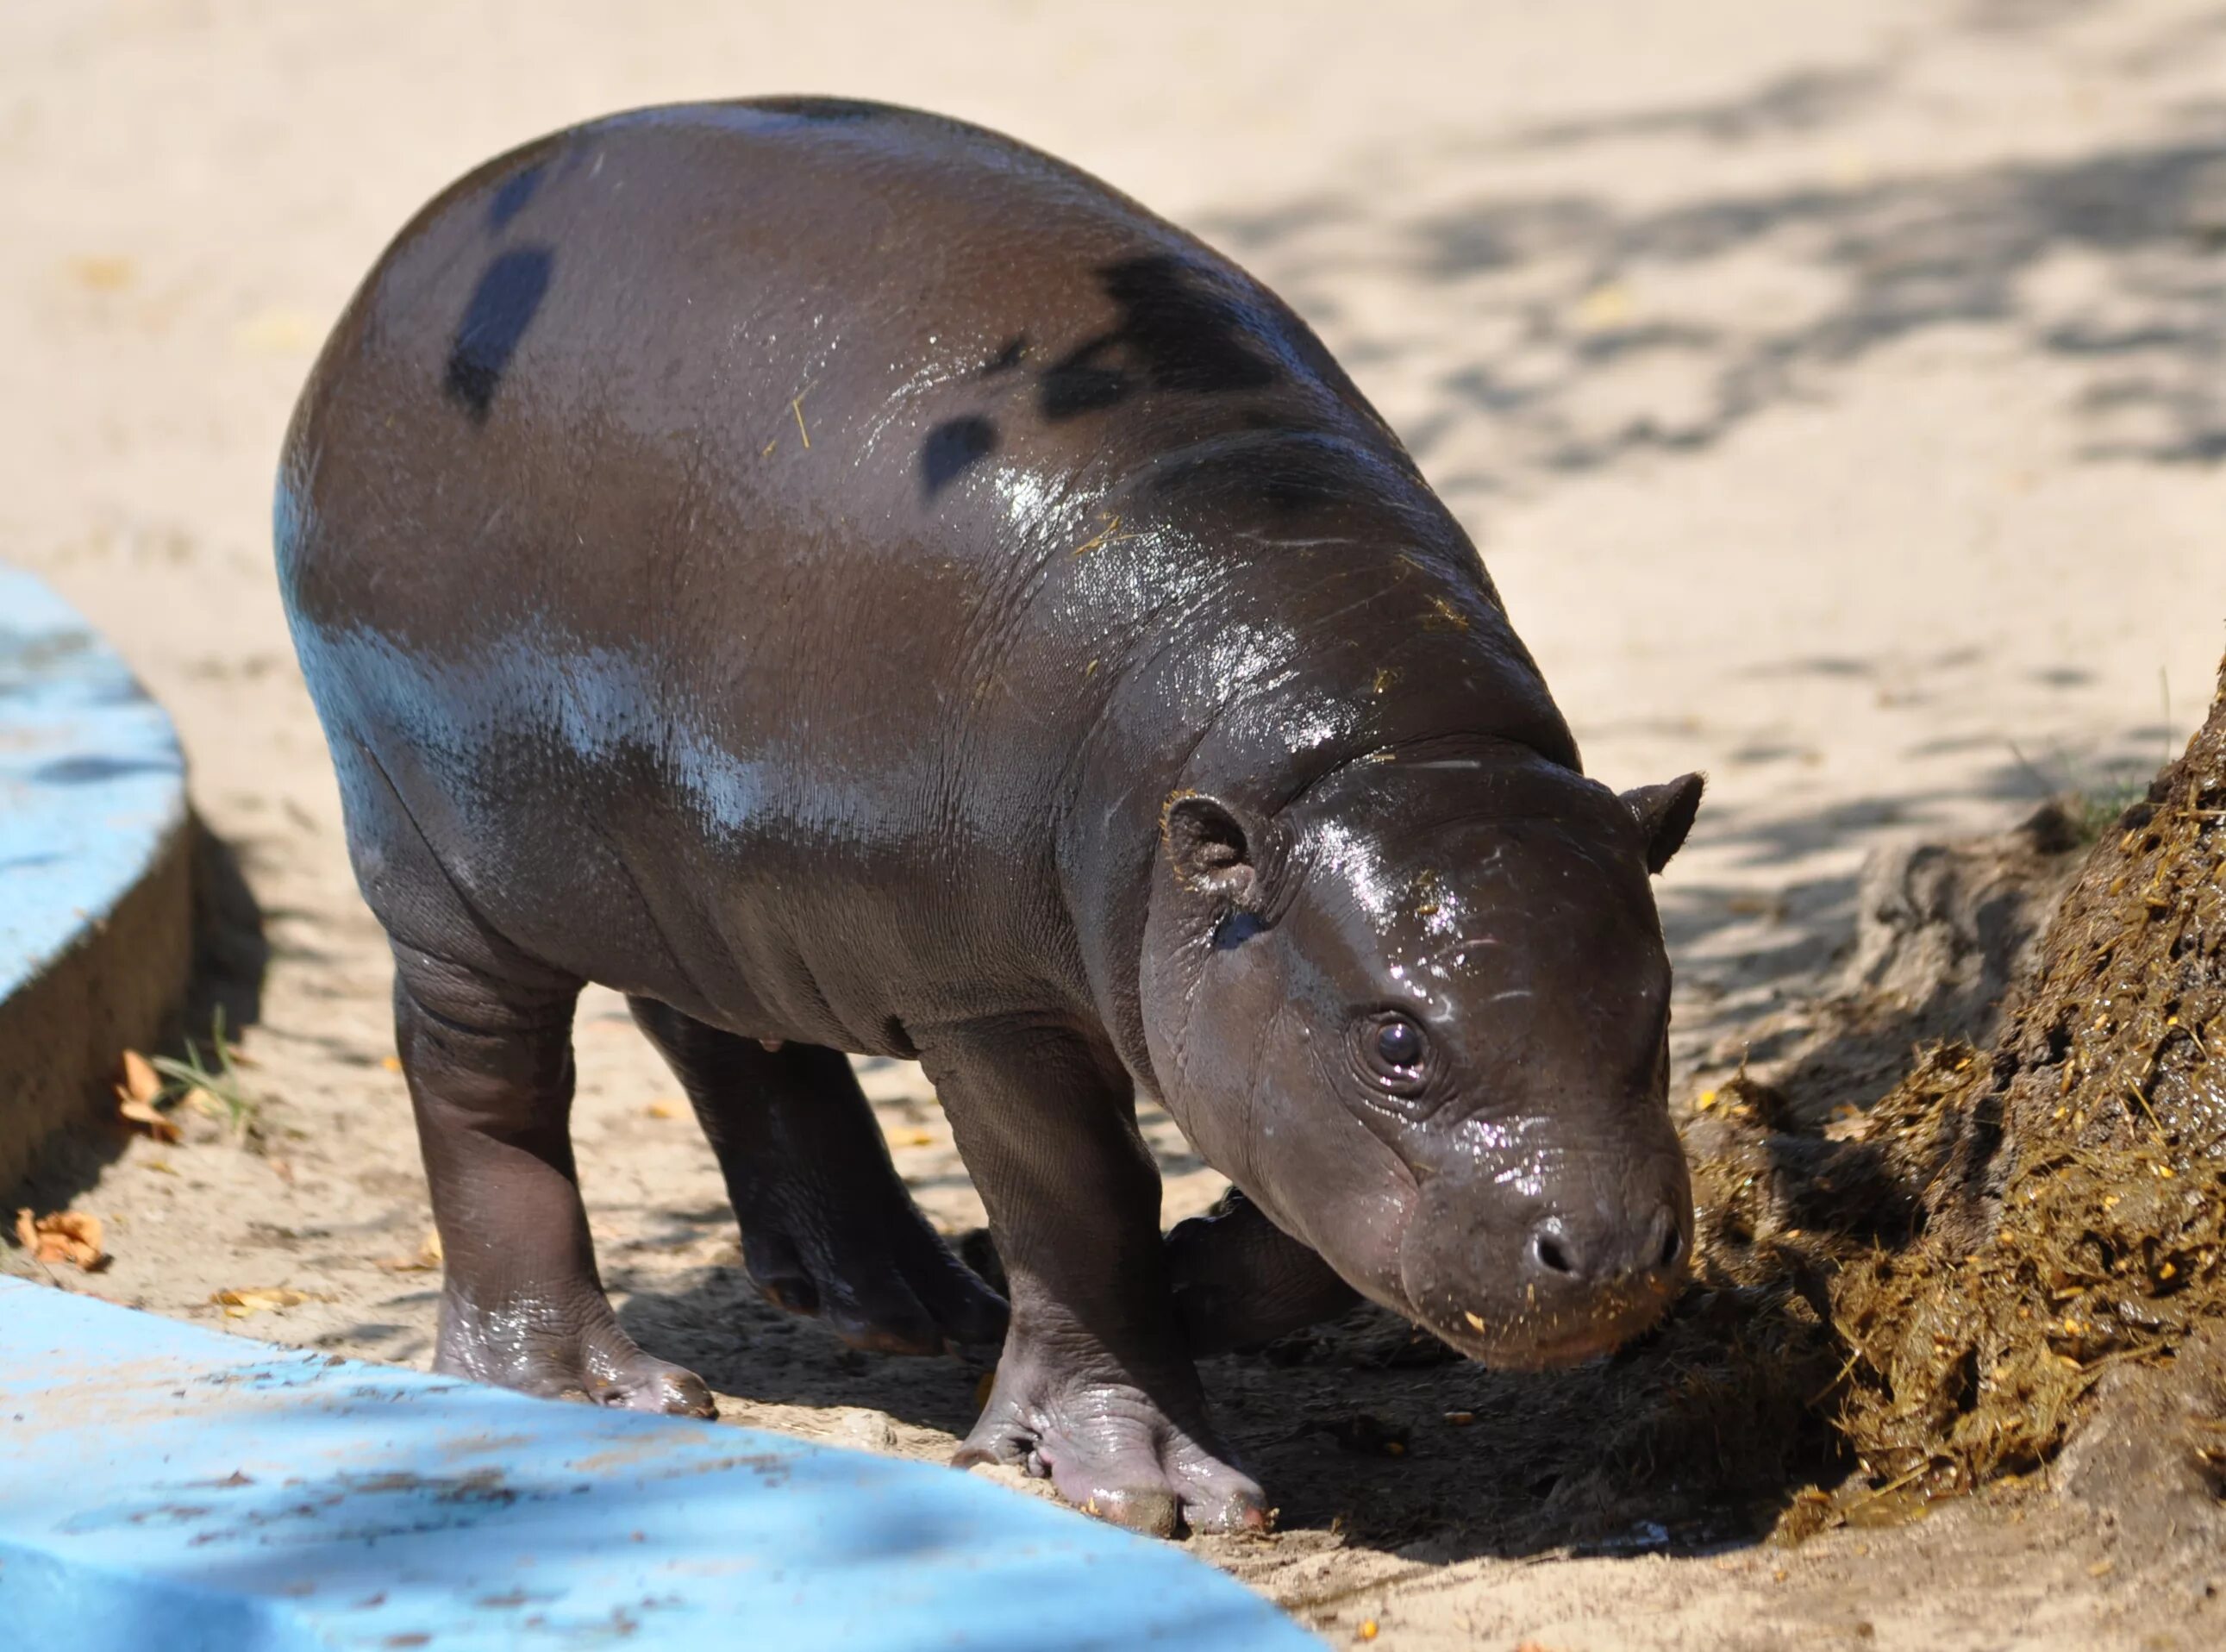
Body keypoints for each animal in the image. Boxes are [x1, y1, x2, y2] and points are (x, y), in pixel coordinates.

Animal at [282, 100, 1700, 1540]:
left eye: (1657, 1001)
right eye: (1396, 1043)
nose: (1610, 1249)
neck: (1336, 747)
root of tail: (418, 246)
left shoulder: (1231, 981)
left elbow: (1289, 1205)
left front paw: (1187, 1279)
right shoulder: (988, 993)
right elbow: (1083, 1203)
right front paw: (1142, 1484)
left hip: (682, 860)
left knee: (726, 1034)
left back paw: (908, 1306)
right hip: (436, 857)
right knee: (485, 1087)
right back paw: (591, 1384)